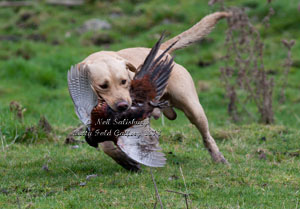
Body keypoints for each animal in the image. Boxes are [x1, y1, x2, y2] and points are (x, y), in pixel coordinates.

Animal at [77, 11, 230, 170]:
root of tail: (163, 51)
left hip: (193, 109)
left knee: (207, 136)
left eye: (124, 81)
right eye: (103, 85)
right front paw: (125, 160)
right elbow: (107, 144)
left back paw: (218, 157)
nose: (123, 105)